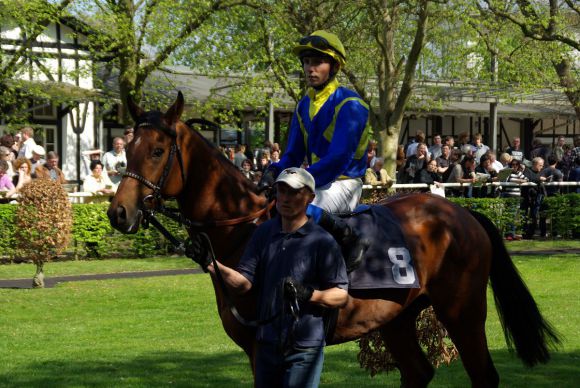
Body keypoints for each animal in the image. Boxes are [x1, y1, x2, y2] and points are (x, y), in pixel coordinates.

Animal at [107, 92, 556, 386]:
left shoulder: (267, 346)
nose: (118, 212)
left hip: (462, 311)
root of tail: (462, 213)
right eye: (127, 148)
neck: (246, 229)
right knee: (418, 372)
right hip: (398, 315)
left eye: (159, 150)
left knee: (483, 375)